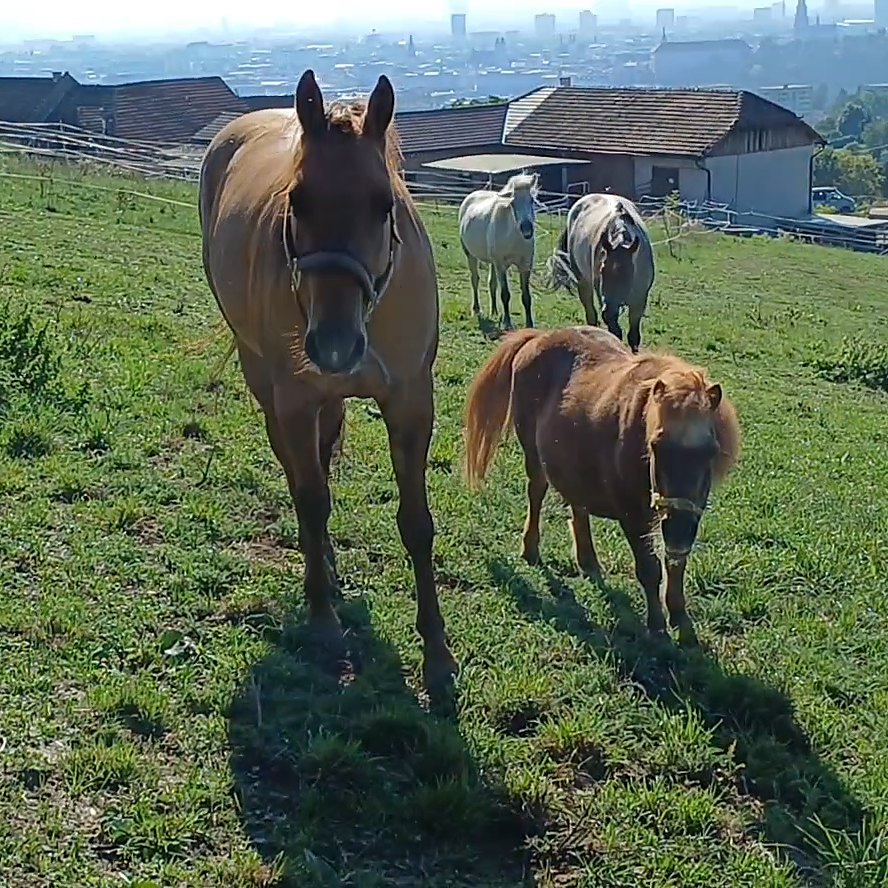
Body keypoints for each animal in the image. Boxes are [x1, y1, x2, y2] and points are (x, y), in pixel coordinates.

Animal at [198, 69, 458, 691]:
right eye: (297, 200)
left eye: (384, 204)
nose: (334, 345)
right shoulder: (295, 399)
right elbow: (312, 500)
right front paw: (323, 622)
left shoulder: (411, 404)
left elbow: (416, 523)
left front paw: (437, 652)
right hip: (267, 383)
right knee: (300, 477)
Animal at [458, 172, 539, 329]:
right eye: (512, 203)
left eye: (532, 200)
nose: (527, 229)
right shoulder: (501, 265)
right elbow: (505, 294)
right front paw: (507, 323)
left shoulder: (525, 265)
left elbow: (526, 296)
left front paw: (529, 324)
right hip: (471, 255)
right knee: (475, 280)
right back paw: (477, 309)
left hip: (492, 262)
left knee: (492, 284)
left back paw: (495, 312)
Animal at [463, 325, 740, 644]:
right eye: (656, 446)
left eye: (710, 451)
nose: (679, 532)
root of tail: (539, 336)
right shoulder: (633, 516)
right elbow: (649, 569)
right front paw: (657, 626)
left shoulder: (687, 517)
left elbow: (676, 566)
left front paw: (680, 619)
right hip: (533, 455)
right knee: (536, 493)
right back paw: (531, 549)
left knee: (577, 505)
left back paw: (588, 561)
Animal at [550, 193, 654, 352]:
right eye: (602, 269)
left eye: (627, 275)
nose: (608, 311)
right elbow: (615, 332)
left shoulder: (639, 299)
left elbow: (634, 336)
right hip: (583, 283)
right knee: (591, 315)